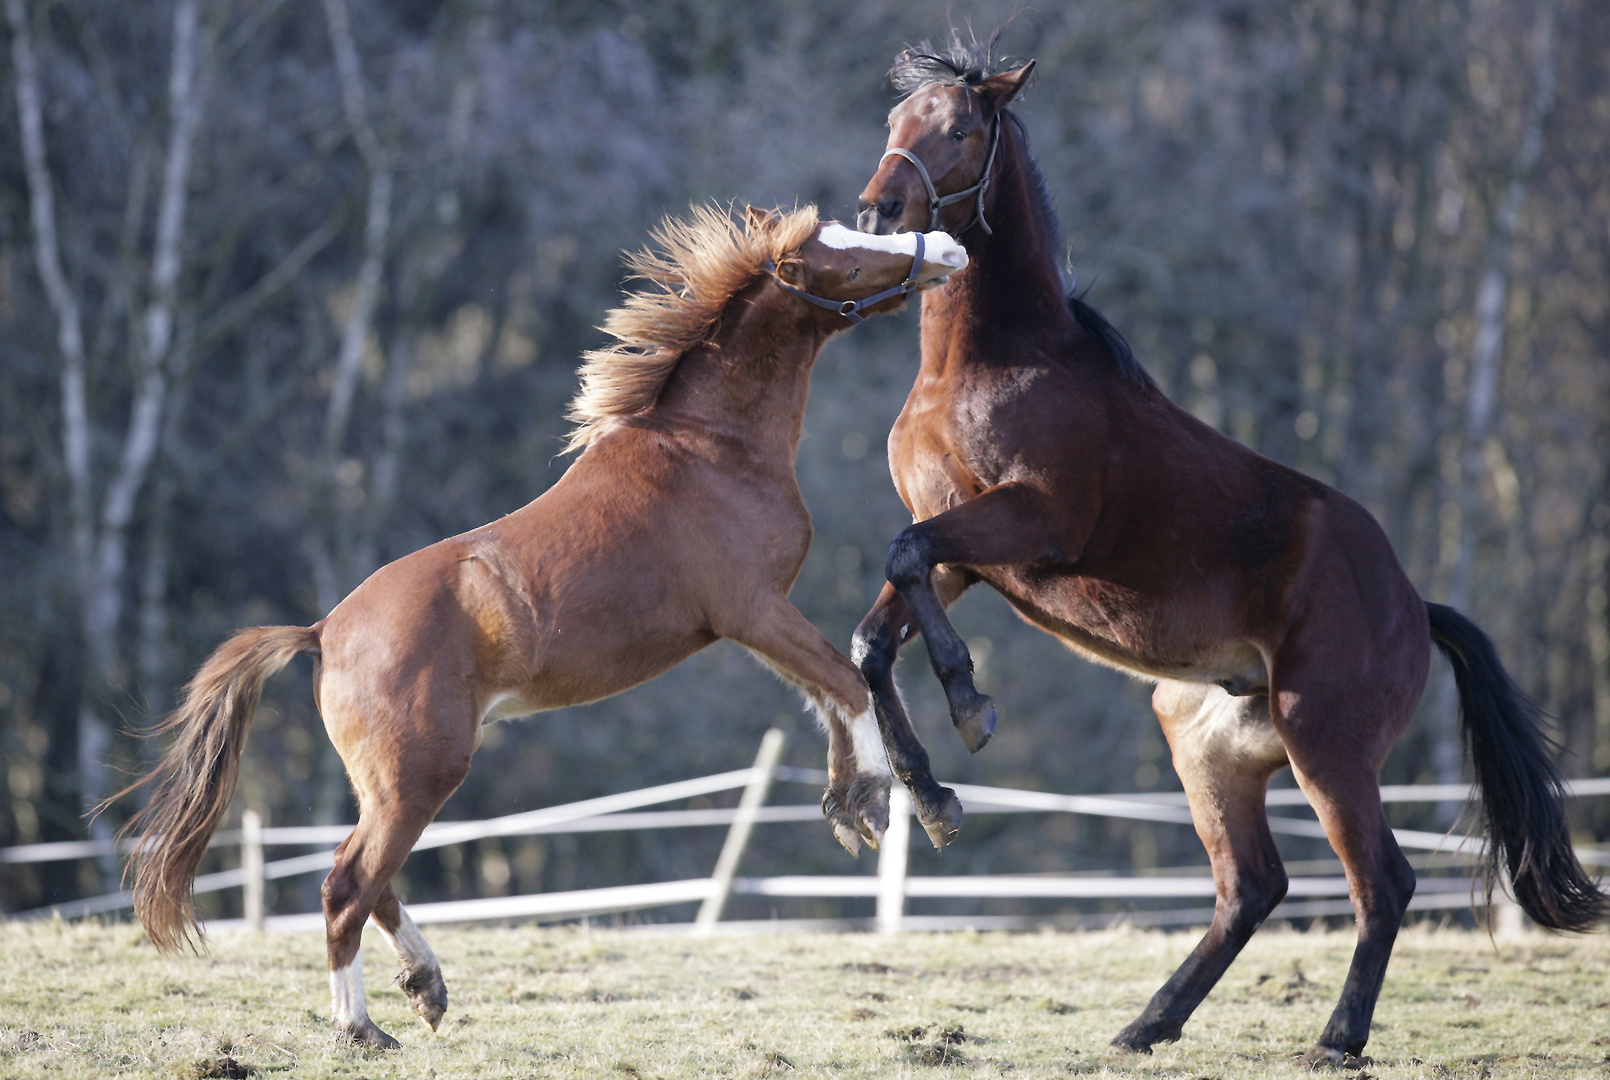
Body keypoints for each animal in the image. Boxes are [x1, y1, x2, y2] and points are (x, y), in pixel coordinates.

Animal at [116, 207, 966, 1049]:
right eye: (844, 260)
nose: (949, 250)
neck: (714, 448)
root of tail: (323, 630)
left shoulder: (758, 621)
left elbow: (826, 695)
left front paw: (846, 803)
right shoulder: (752, 608)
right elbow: (844, 681)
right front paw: (872, 802)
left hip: (388, 782)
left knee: (365, 878)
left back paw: (425, 987)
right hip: (419, 775)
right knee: (346, 885)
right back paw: (362, 1027)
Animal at [850, 38, 1603, 1068]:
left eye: (960, 130)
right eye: (894, 123)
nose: (878, 210)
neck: (988, 361)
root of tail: (1416, 606)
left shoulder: (1030, 526)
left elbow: (903, 558)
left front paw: (970, 702)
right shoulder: (966, 559)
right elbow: (876, 631)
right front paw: (933, 798)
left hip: (1325, 744)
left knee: (1384, 882)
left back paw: (1335, 1041)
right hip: (1206, 747)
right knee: (1252, 886)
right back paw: (1146, 1025)